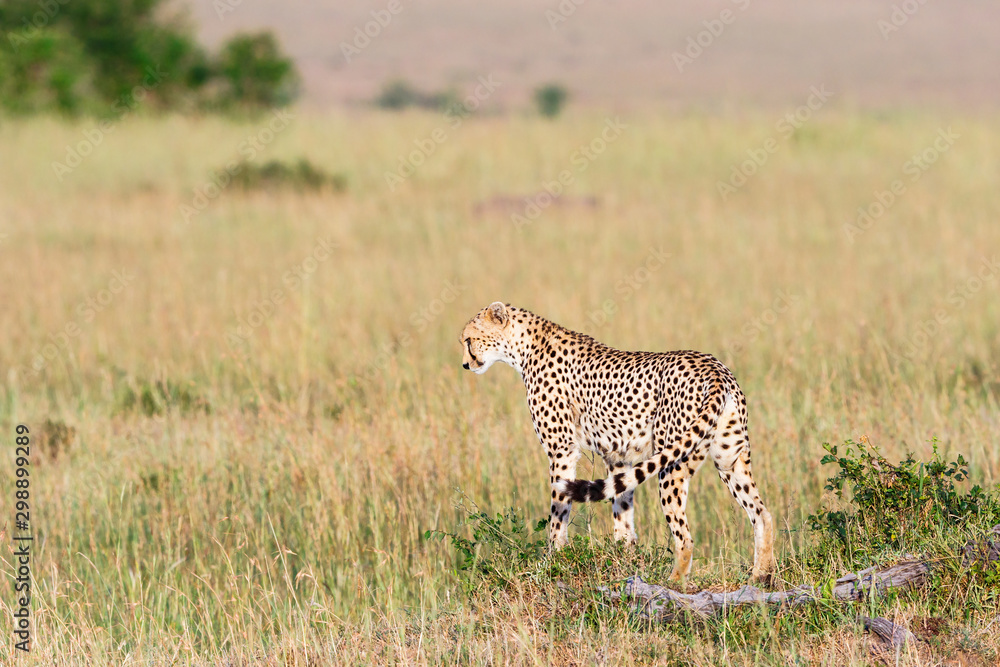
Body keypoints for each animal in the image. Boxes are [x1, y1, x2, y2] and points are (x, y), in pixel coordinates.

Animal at [460, 301, 776, 583]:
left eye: (469, 339)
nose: (465, 364)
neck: (524, 346)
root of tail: (715, 367)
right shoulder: (619, 457)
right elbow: (622, 510)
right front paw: (626, 556)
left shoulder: (562, 450)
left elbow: (558, 511)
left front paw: (552, 561)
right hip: (730, 458)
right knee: (762, 513)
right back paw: (760, 575)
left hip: (671, 464)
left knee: (685, 535)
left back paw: (674, 581)